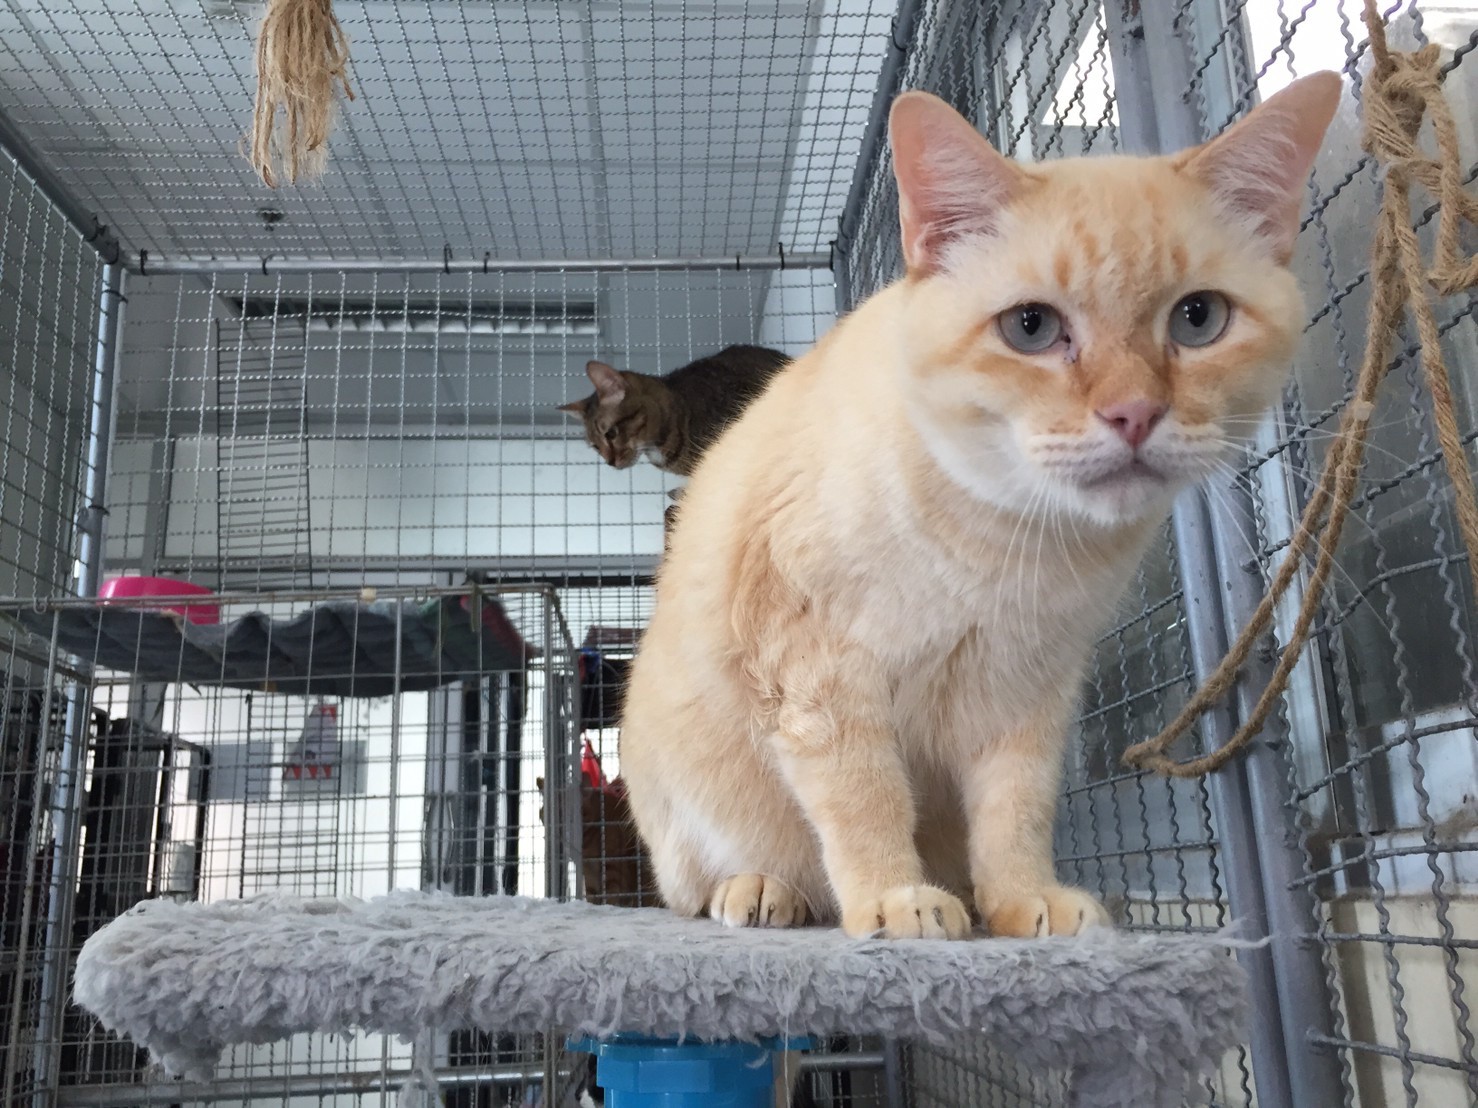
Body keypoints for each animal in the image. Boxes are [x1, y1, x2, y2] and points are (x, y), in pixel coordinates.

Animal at [617, 78, 1347, 939]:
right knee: (702, 887)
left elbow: (1014, 814)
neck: (1008, 539)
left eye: (1198, 318)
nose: (1134, 414)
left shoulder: (1027, 694)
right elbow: (864, 801)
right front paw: (894, 900)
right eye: (1031, 328)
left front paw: (1023, 902)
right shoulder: (822, 676)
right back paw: (765, 891)